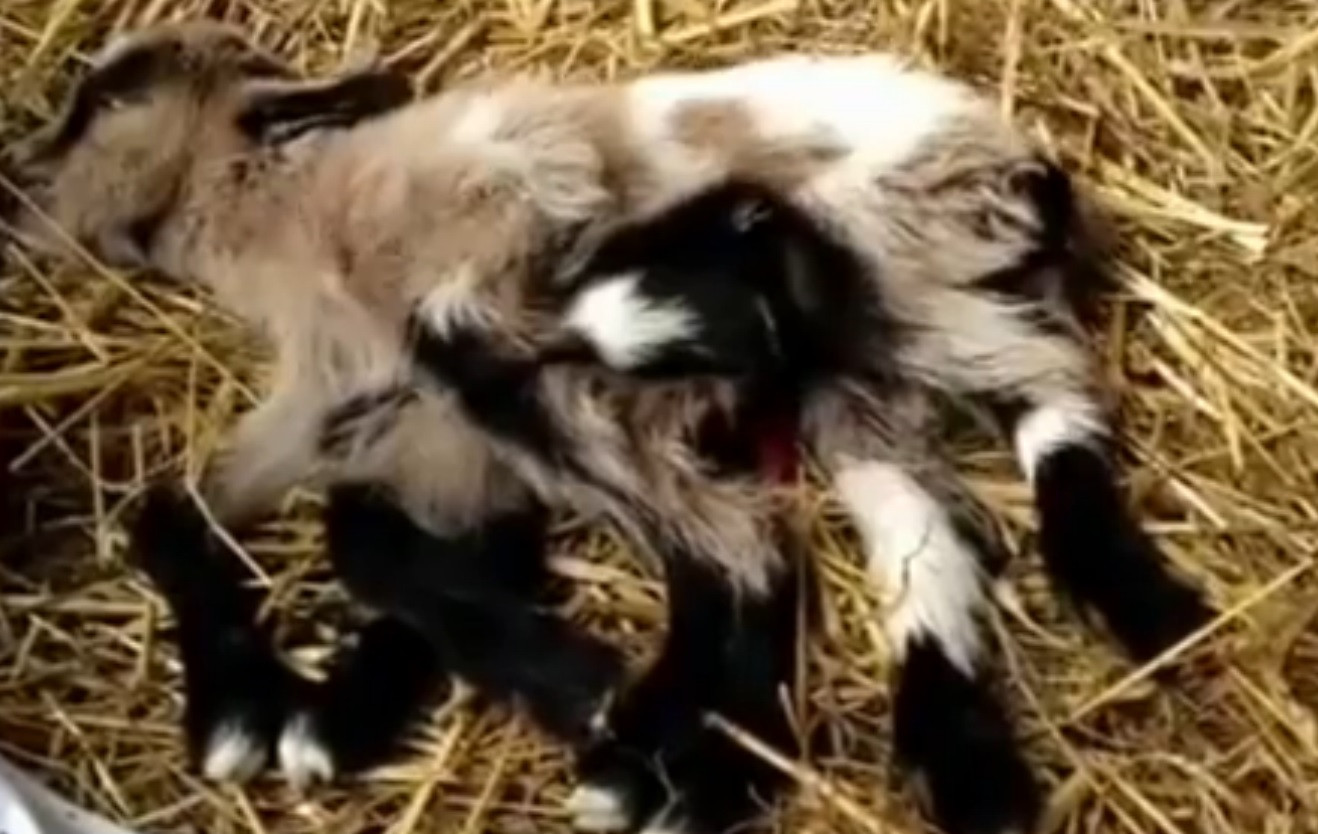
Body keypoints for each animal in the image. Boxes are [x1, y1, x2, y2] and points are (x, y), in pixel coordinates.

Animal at [2, 22, 1213, 834]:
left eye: (109, 98)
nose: (18, 179)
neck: (294, 212)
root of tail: (1022, 166)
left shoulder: (461, 327)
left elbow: (361, 541)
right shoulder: (376, 419)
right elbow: (260, 522)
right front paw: (296, 713)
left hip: (877, 288)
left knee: (801, 521)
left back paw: (655, 763)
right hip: (867, 366)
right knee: (916, 522)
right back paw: (953, 745)